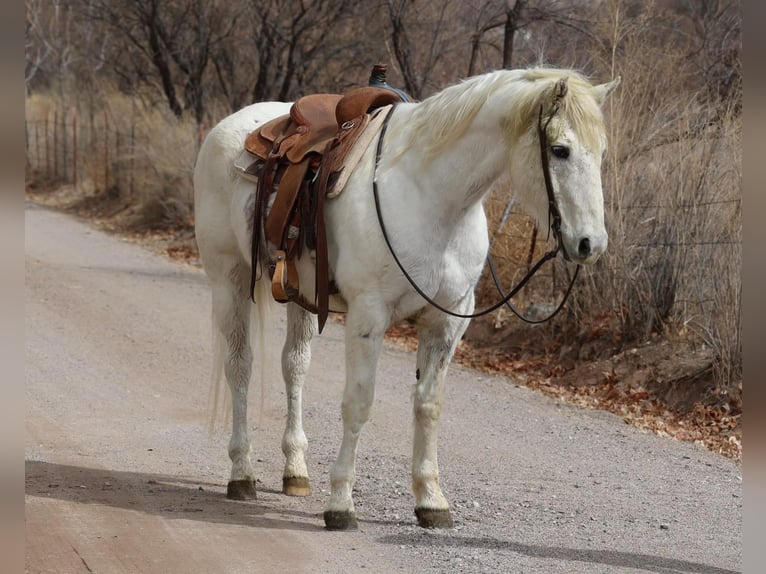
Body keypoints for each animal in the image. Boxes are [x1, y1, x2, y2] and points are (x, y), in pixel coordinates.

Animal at [192, 67, 620, 530]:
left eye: (601, 152)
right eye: (560, 150)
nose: (590, 244)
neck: (432, 199)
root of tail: (228, 127)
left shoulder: (449, 322)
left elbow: (428, 405)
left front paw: (431, 500)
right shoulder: (368, 317)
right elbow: (359, 402)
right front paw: (341, 503)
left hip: (299, 296)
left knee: (295, 367)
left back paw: (295, 470)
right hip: (230, 280)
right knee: (240, 367)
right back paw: (242, 473)